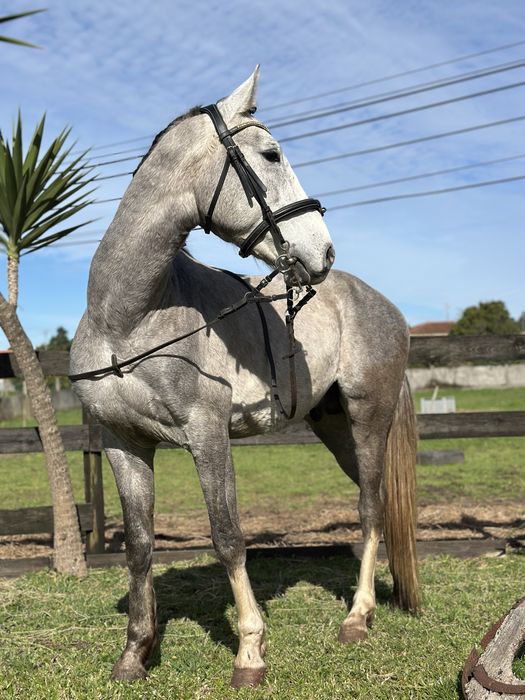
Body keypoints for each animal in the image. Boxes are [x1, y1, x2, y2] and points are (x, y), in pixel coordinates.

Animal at [70, 67, 419, 689]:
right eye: (272, 154)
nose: (323, 251)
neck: (128, 318)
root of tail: (385, 306)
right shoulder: (122, 443)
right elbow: (139, 546)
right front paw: (135, 652)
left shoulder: (207, 436)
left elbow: (229, 538)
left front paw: (250, 652)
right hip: (335, 428)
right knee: (373, 502)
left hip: (368, 420)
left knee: (371, 509)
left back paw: (357, 618)